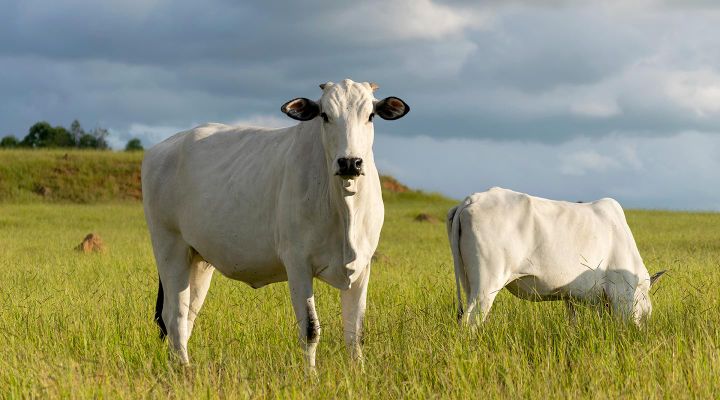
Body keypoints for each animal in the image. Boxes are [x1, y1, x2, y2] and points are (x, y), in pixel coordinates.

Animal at [141, 78, 410, 368]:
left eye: (370, 115)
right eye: (325, 115)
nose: (350, 162)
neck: (344, 207)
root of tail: (163, 147)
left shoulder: (362, 266)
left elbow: (355, 332)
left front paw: (357, 372)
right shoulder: (298, 264)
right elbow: (310, 329)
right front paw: (310, 375)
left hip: (199, 260)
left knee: (187, 316)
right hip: (170, 249)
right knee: (174, 316)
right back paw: (184, 370)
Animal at [448, 188, 668, 328]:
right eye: (647, 314)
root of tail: (471, 200)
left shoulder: (571, 297)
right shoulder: (620, 294)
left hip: (469, 284)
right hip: (486, 285)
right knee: (470, 322)